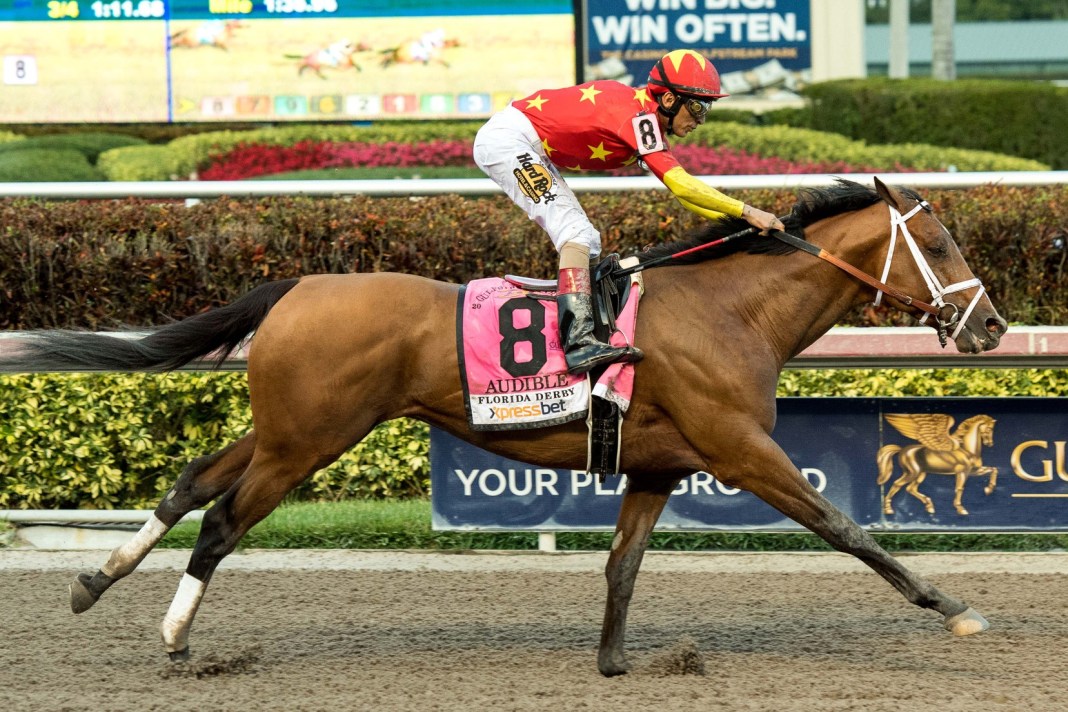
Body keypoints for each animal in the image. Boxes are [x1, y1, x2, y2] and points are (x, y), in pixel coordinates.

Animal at [0, 178, 1007, 677]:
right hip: (309, 440)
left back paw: (94, 581)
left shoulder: (658, 465)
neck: (731, 311)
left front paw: (613, 661)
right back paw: (176, 640)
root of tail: (296, 285)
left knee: (191, 481)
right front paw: (953, 607)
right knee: (221, 519)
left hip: (287, 428)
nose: (992, 326)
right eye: (941, 243)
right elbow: (846, 527)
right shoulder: (742, 450)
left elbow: (623, 565)